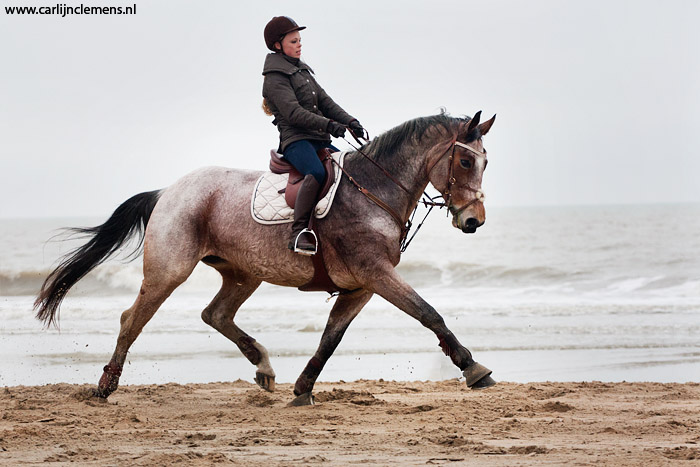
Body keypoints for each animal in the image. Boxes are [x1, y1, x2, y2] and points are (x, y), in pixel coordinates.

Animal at [35, 110, 498, 406]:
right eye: (466, 159)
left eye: (485, 161)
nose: (474, 220)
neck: (373, 190)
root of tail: (168, 191)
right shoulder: (376, 274)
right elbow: (428, 313)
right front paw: (473, 368)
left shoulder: (361, 287)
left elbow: (331, 338)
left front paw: (303, 388)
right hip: (169, 270)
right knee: (132, 319)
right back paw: (106, 385)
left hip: (243, 274)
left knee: (215, 314)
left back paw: (264, 367)